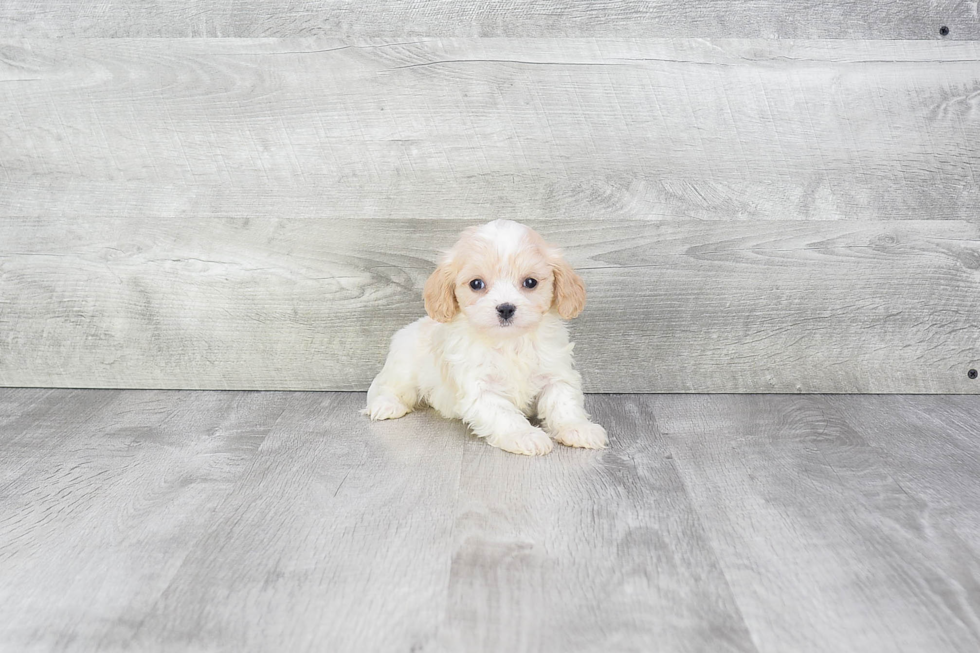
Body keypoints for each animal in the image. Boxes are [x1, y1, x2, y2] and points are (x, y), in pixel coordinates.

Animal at [360, 219, 604, 454]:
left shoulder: (556, 374)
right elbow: (504, 414)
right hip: (404, 370)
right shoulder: (480, 388)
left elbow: (563, 403)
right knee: (388, 388)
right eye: (476, 284)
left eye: (530, 282)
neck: (510, 342)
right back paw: (386, 405)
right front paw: (525, 436)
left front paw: (578, 429)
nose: (506, 308)